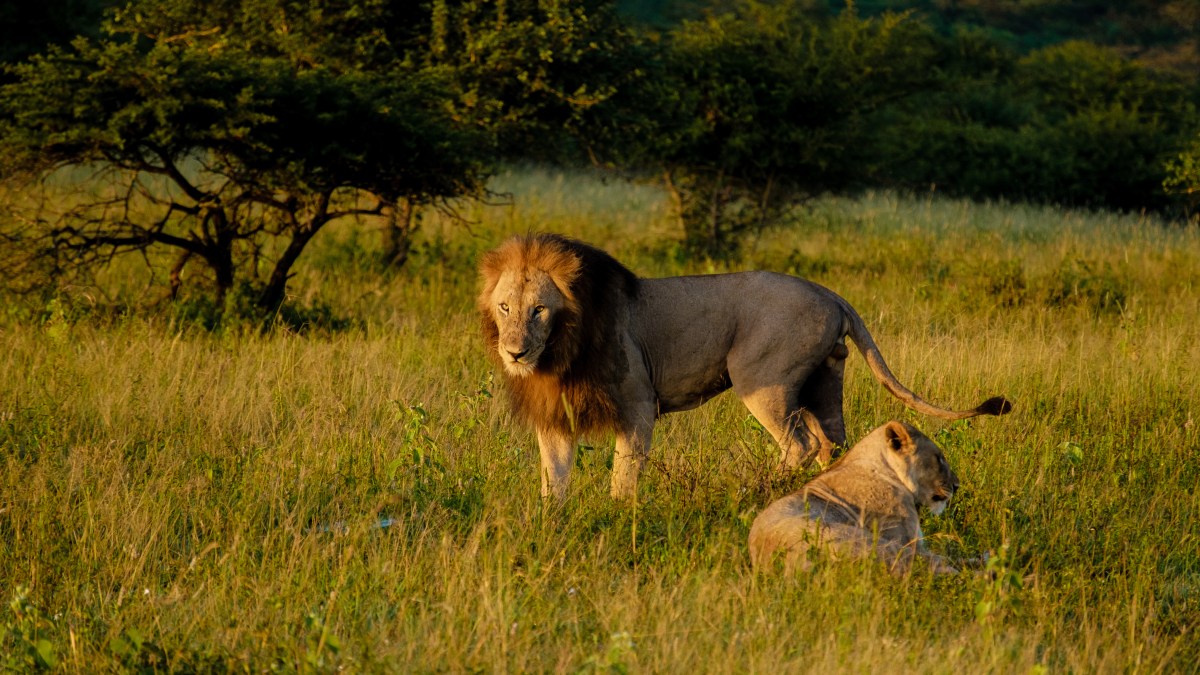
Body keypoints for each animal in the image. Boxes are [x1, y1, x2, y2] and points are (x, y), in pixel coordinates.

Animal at [472, 234, 1008, 497]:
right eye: (505, 308)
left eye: (540, 310)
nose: (515, 352)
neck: (560, 349)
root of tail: (830, 293)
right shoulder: (554, 415)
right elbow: (554, 477)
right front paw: (551, 522)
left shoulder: (638, 404)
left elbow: (623, 474)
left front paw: (619, 514)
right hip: (823, 382)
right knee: (833, 442)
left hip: (762, 381)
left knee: (800, 443)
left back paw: (756, 490)